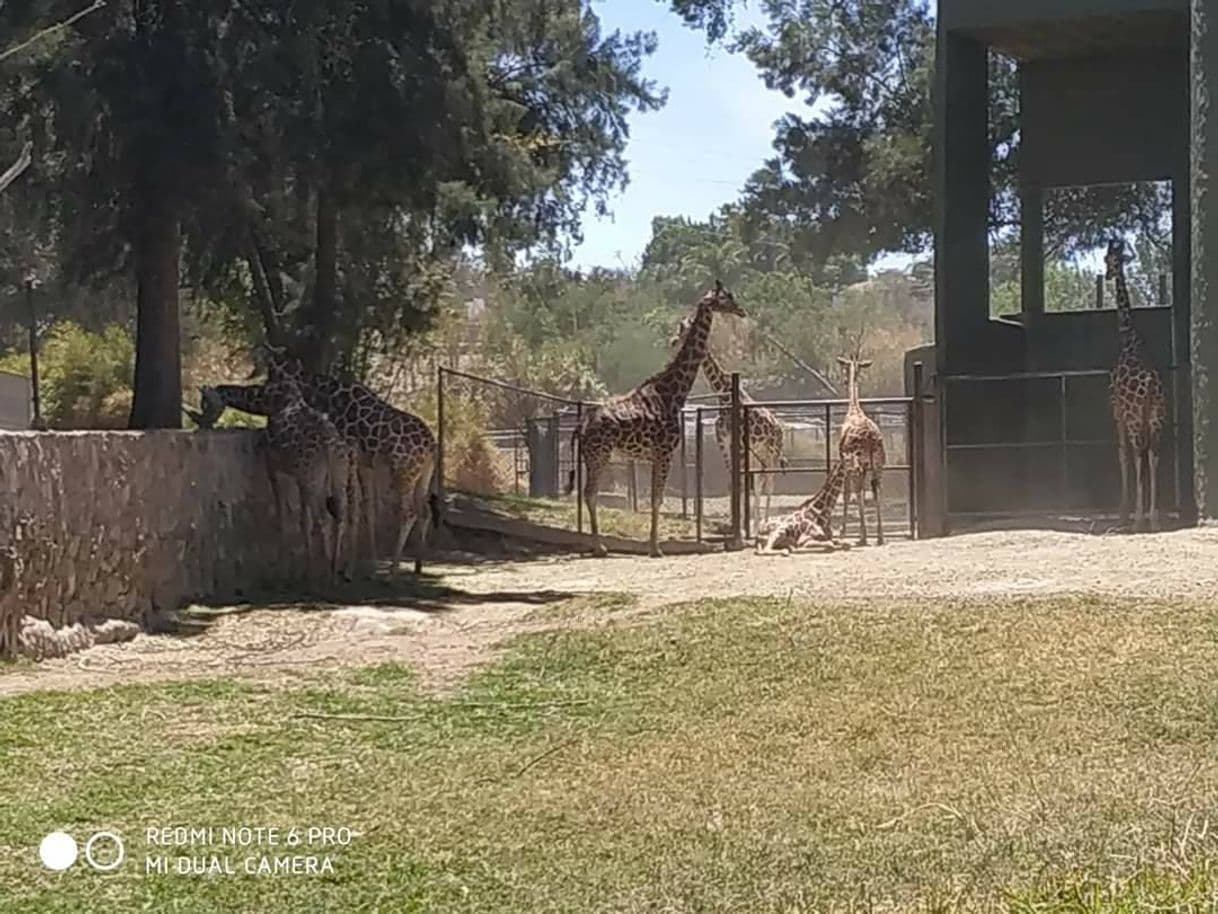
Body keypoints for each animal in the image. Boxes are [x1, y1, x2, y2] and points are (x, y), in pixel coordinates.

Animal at [190, 346, 438, 575]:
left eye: (205, 403)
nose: (202, 424)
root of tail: (431, 446)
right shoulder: (361, 462)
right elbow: (366, 508)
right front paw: (366, 564)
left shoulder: (349, 455)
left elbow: (349, 507)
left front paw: (347, 568)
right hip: (421, 474)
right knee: (423, 510)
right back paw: (417, 565)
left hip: (403, 472)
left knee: (408, 512)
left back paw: (393, 571)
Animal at [565, 281, 745, 558]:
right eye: (726, 297)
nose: (741, 310)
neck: (672, 393)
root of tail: (580, 426)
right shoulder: (665, 452)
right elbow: (657, 499)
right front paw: (655, 548)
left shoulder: (654, 455)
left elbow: (653, 499)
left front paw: (653, 545)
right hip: (600, 454)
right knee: (590, 493)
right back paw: (599, 547)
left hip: (590, 455)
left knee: (587, 492)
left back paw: (594, 544)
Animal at [667, 319, 789, 526]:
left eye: (683, 334)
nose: (673, 342)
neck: (723, 395)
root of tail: (779, 427)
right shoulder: (723, 441)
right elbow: (732, 479)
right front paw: (735, 522)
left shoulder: (737, 443)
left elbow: (740, 481)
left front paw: (740, 523)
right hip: (758, 452)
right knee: (759, 480)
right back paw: (756, 522)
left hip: (772, 449)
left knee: (770, 480)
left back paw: (764, 522)